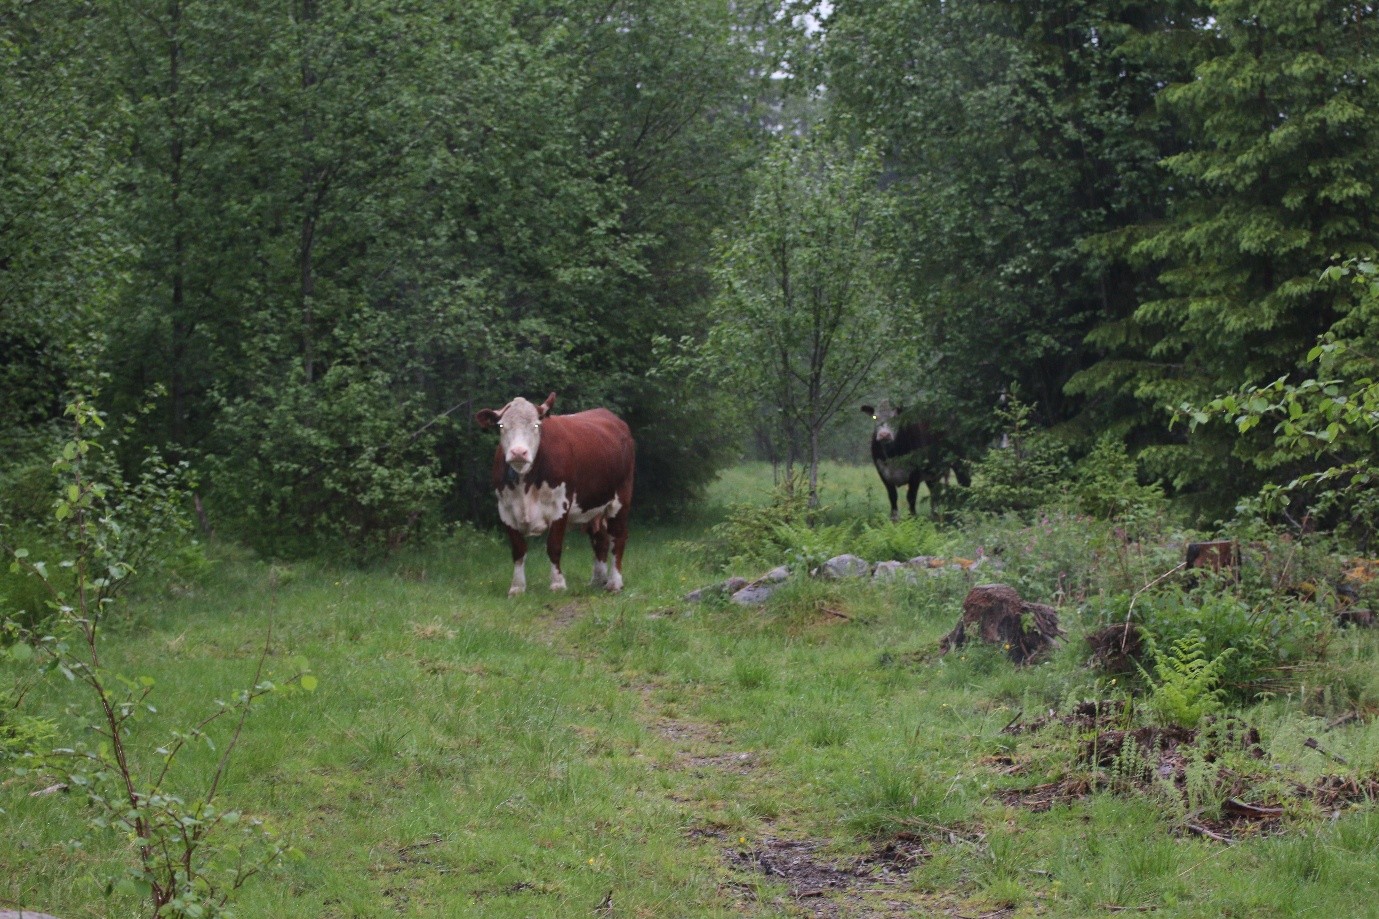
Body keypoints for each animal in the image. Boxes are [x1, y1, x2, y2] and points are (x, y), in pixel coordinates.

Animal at [475, 392, 635, 596]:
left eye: (536, 425)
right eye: (502, 426)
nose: (518, 452)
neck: (525, 483)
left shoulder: (560, 505)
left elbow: (554, 546)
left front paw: (558, 584)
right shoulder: (505, 509)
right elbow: (518, 550)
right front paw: (517, 587)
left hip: (621, 498)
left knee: (618, 537)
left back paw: (614, 583)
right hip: (592, 506)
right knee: (600, 539)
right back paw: (598, 580)